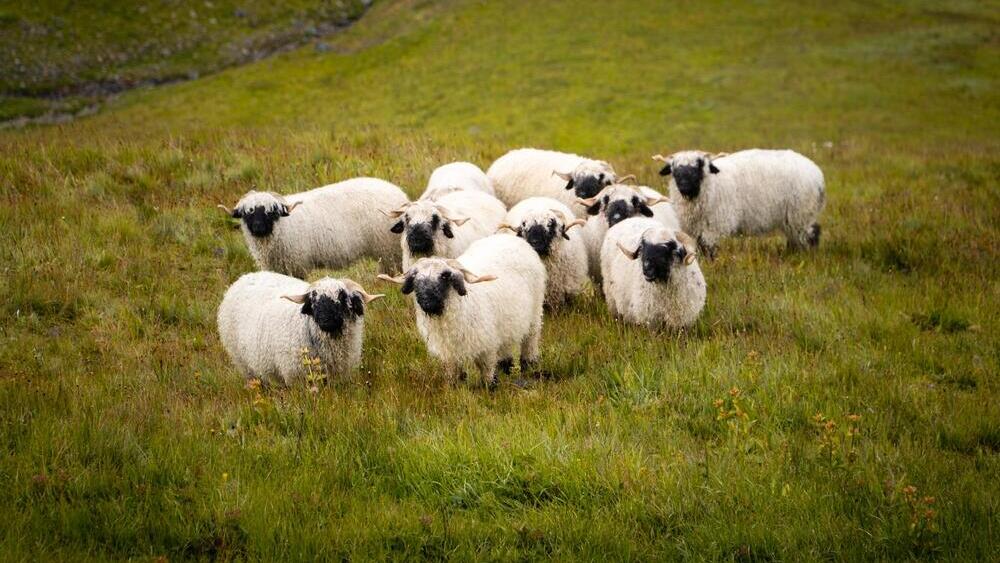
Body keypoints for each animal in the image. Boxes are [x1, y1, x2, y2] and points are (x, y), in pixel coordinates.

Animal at [217, 177, 409, 278]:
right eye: (247, 213)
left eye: (270, 212)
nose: (257, 228)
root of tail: (398, 193)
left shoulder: (296, 265)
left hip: (388, 249)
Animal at [217, 272, 384, 385]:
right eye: (313, 300)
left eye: (342, 297)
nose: (325, 320)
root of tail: (244, 277)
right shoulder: (296, 377)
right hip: (243, 363)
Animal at [377, 234, 546, 388]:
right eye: (415, 278)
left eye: (445, 276)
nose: (427, 303)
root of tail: (510, 237)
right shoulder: (449, 354)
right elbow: (453, 378)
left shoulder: (487, 347)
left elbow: (488, 375)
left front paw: (490, 388)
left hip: (535, 314)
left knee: (530, 341)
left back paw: (529, 364)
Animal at [652, 149, 825, 257]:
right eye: (675, 171)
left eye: (698, 167)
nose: (684, 187)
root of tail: (817, 174)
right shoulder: (694, 229)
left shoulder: (714, 227)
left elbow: (709, 249)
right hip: (793, 217)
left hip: (802, 211)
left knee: (811, 233)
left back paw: (809, 255)